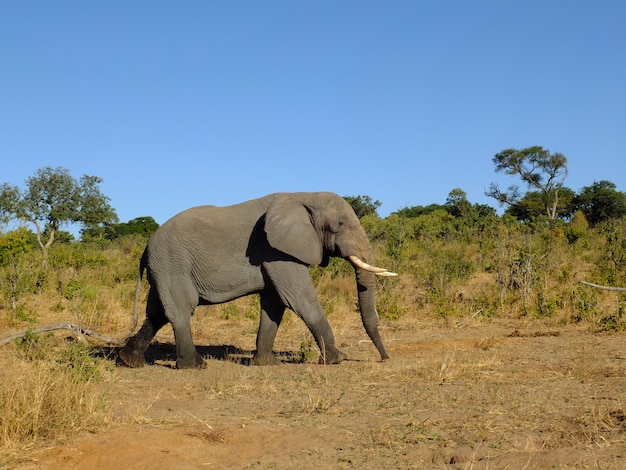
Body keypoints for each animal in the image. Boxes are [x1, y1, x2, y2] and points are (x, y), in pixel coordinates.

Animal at [118, 193, 394, 370]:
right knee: (180, 309)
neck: (305, 196)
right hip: (173, 262)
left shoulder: (276, 254)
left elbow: (274, 304)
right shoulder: (277, 250)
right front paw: (336, 359)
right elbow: (299, 300)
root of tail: (146, 247)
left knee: (157, 313)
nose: (384, 358)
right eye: (339, 224)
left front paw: (266, 363)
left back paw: (129, 360)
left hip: (165, 266)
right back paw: (194, 366)